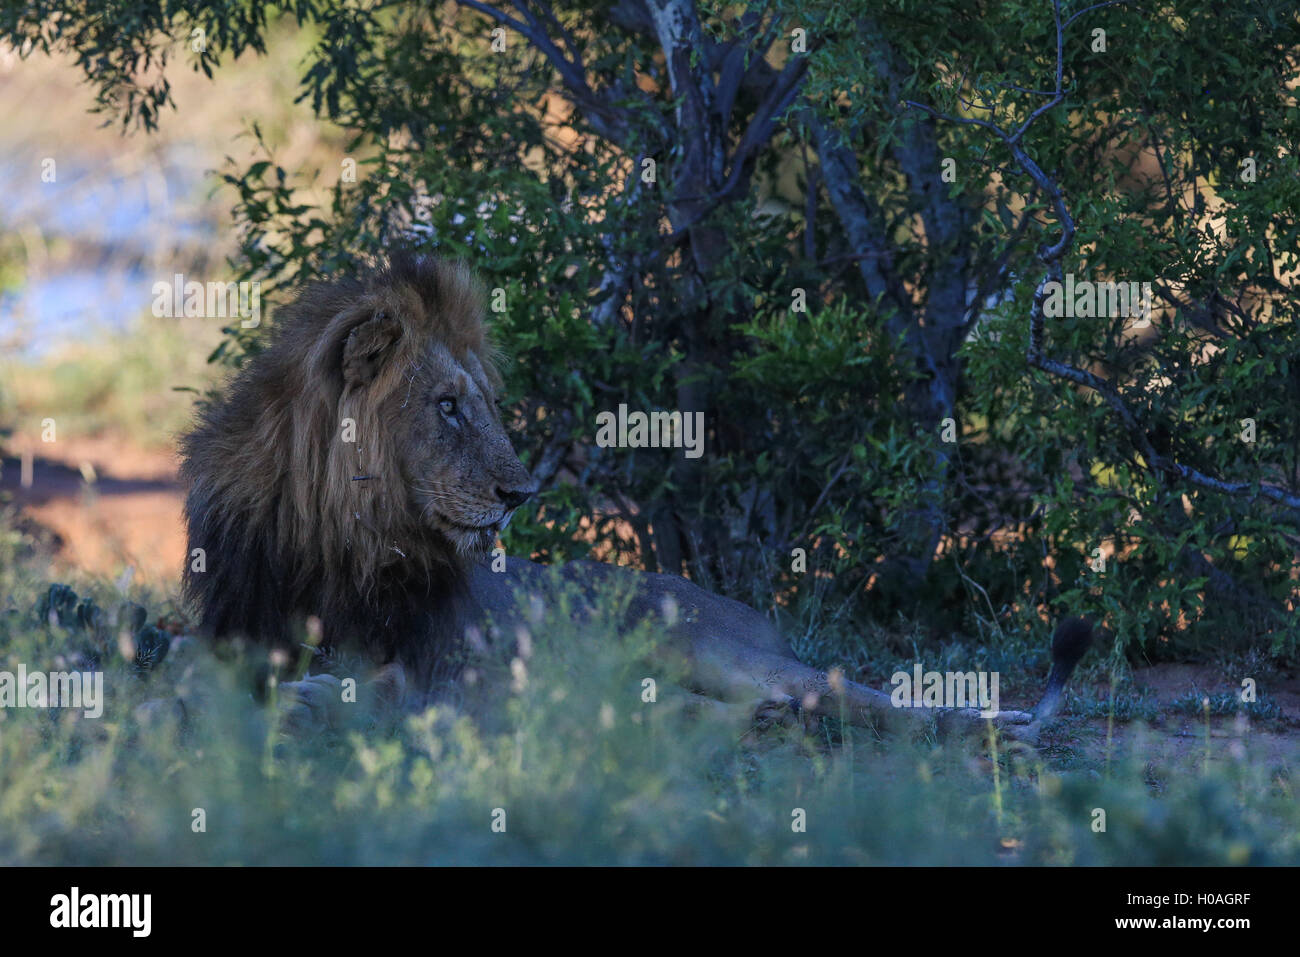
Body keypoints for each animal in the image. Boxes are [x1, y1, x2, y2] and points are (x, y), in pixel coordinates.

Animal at [178, 252, 1092, 738]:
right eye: (447, 405)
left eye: (484, 401)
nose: (520, 491)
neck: (341, 538)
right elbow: (205, 681)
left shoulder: (448, 669)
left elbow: (380, 690)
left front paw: (318, 697)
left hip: (709, 647)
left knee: (865, 704)